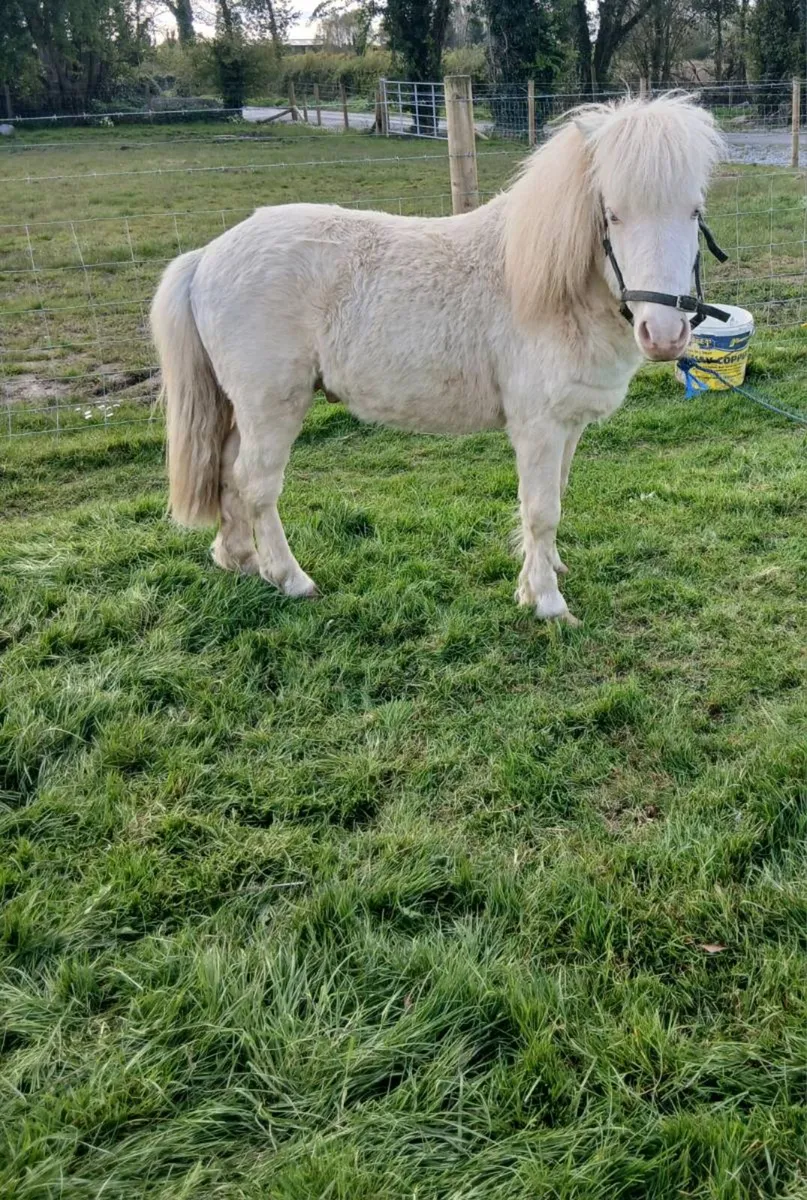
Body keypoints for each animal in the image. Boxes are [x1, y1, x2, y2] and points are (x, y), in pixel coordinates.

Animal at [150, 94, 724, 624]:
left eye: (694, 213)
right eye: (613, 214)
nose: (665, 333)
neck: (551, 291)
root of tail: (208, 256)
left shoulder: (569, 424)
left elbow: (555, 497)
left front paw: (547, 570)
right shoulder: (538, 426)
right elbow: (541, 510)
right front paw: (546, 601)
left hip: (243, 409)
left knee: (227, 471)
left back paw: (238, 558)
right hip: (272, 406)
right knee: (257, 483)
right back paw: (290, 578)